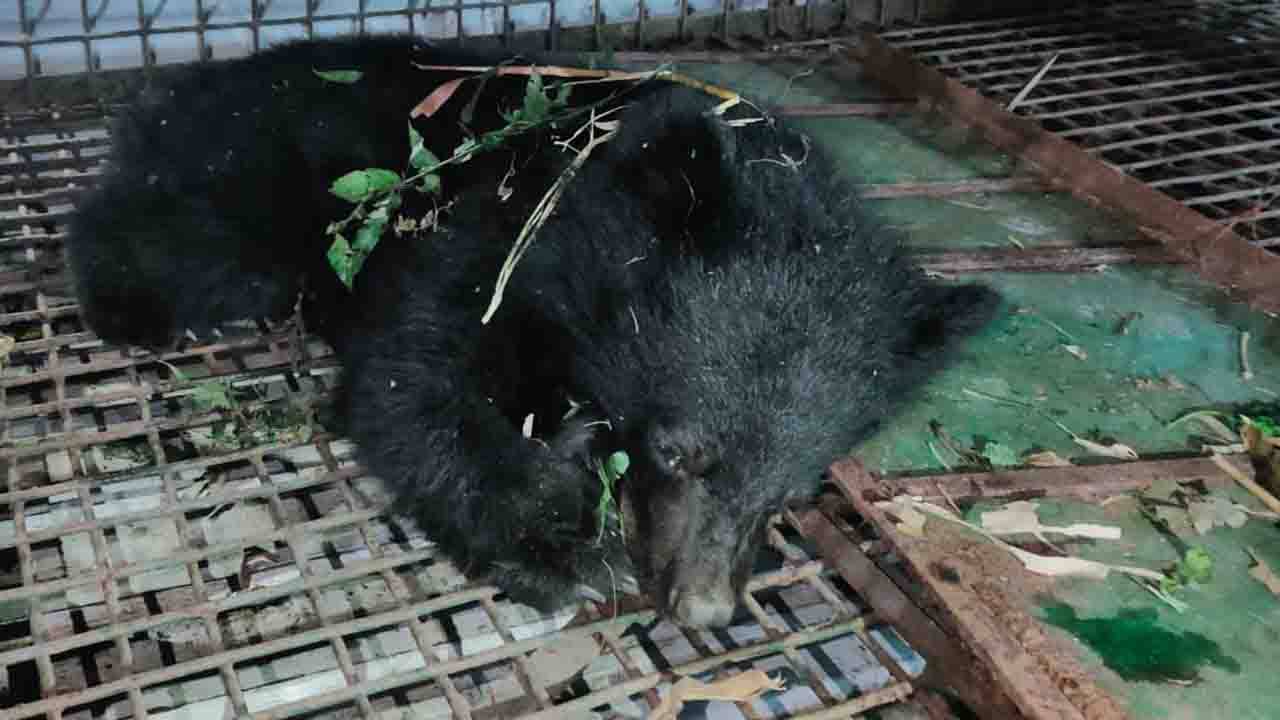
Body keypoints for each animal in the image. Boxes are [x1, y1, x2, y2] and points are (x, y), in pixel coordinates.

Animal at [65, 35, 1001, 628]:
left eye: (796, 492)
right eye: (678, 452)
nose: (701, 609)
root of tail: (183, 88)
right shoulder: (496, 232)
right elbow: (414, 381)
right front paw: (562, 551)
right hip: (258, 182)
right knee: (176, 243)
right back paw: (131, 301)